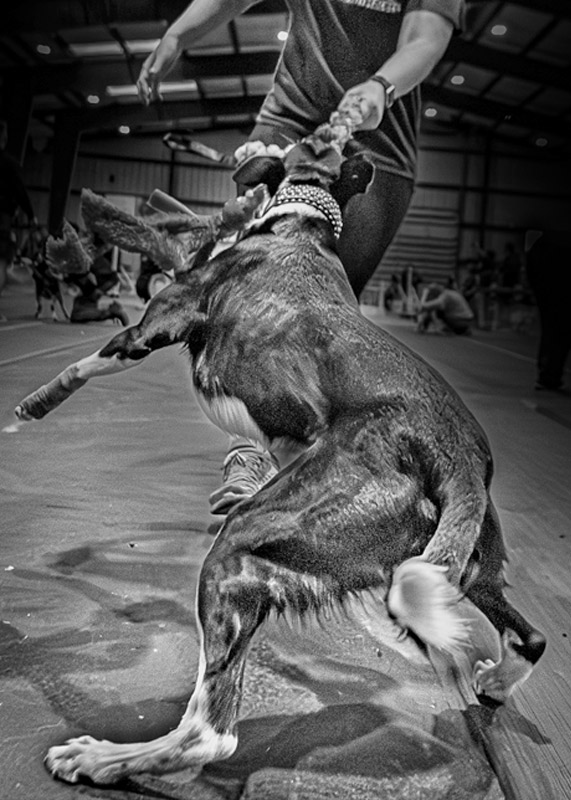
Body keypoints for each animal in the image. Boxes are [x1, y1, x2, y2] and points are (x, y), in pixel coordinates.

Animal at [15, 120, 548, 788]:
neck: (303, 222)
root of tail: (459, 459)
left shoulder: (152, 327)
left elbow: (84, 364)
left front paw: (32, 405)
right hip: (474, 571)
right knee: (531, 639)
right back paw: (495, 681)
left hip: (242, 551)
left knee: (210, 733)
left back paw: (101, 758)